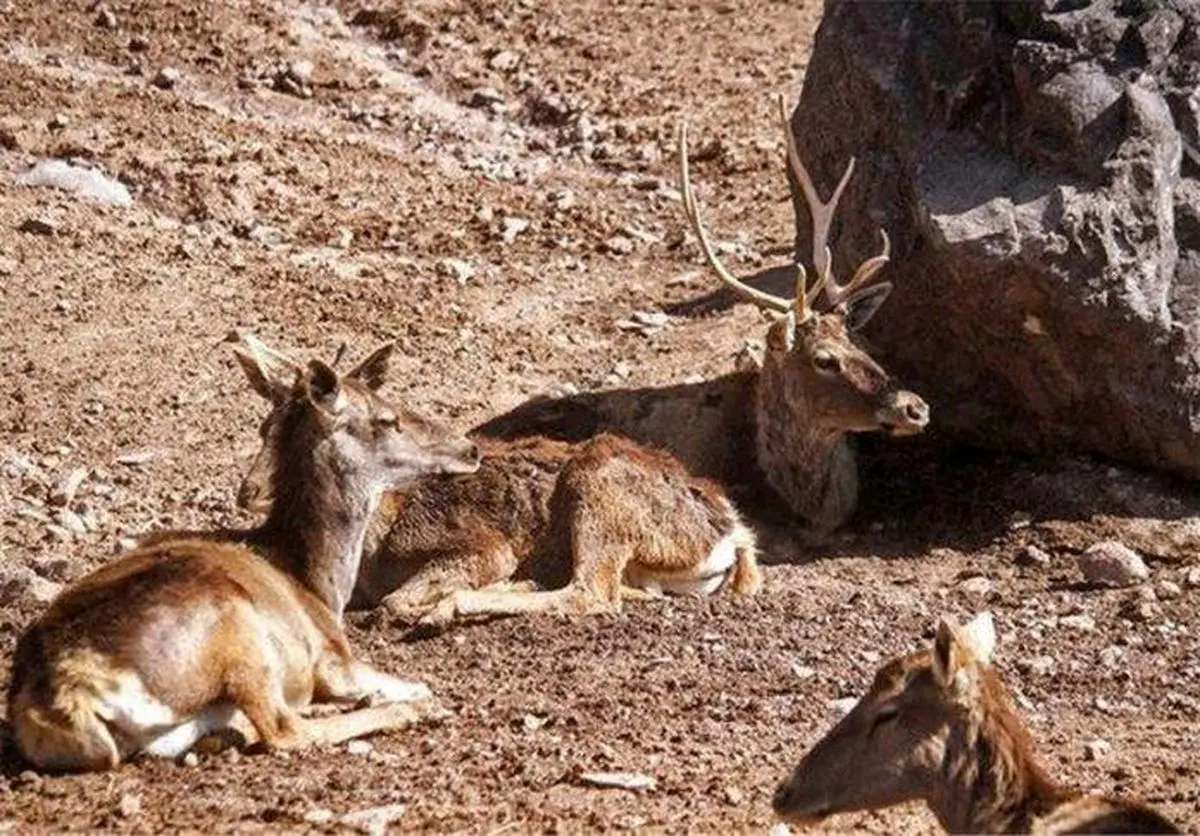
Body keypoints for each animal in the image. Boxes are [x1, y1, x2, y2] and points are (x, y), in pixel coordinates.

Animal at [5, 338, 482, 767]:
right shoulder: (335, 658)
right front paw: (407, 698)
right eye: (387, 418)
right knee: (284, 729)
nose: (470, 448)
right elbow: (408, 683)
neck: (317, 584)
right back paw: (407, 711)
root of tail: (66, 696)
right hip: (238, 631)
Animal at [234, 333, 758, 623]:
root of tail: (732, 533)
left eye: (391, 417)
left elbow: (395, 601)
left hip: (599, 489)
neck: (370, 551)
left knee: (592, 591)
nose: (248, 491)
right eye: (264, 426)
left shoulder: (484, 545)